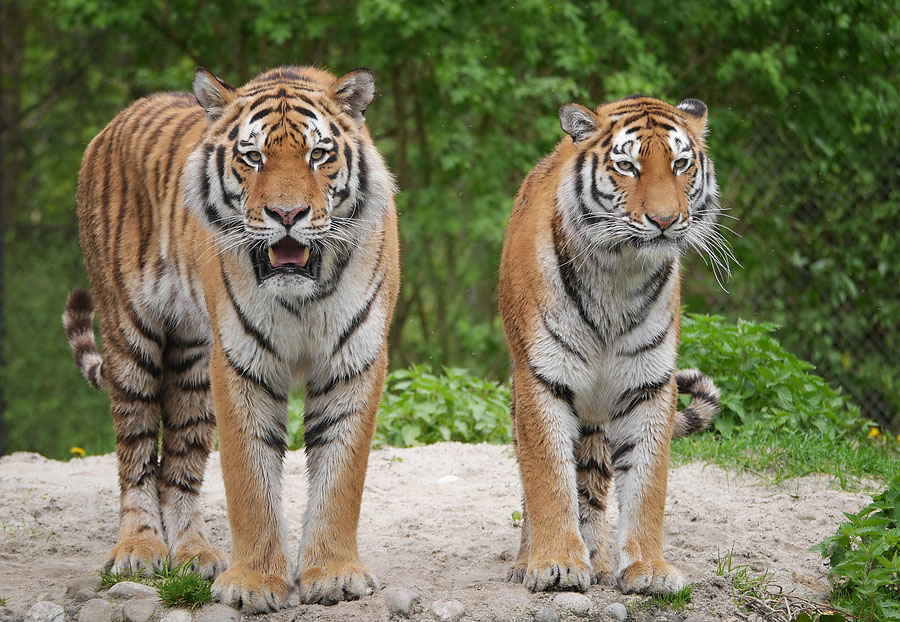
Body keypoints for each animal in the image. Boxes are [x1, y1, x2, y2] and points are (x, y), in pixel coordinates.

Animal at [61, 67, 400, 616]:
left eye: (318, 154)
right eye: (253, 157)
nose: (288, 214)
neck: (302, 295)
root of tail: (116, 121)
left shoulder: (353, 360)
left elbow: (340, 477)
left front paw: (333, 575)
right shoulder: (242, 363)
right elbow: (249, 481)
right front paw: (254, 583)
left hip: (193, 360)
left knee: (178, 467)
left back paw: (194, 554)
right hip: (130, 337)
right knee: (136, 456)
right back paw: (138, 550)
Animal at [500, 95, 724, 596]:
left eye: (680, 164)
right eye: (627, 166)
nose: (665, 221)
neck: (619, 274)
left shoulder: (648, 384)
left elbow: (647, 482)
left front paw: (648, 568)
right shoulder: (542, 378)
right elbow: (548, 480)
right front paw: (556, 564)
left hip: (598, 420)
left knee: (593, 488)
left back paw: (600, 562)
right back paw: (529, 560)